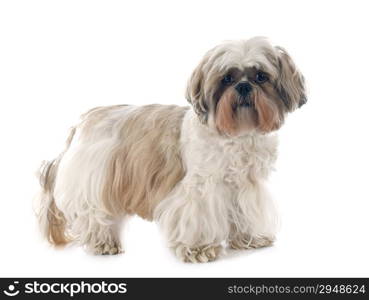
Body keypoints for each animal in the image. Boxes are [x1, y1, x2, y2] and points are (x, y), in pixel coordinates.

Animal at [35, 37, 304, 262]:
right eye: (227, 78)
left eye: (260, 76)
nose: (244, 87)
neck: (237, 135)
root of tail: (84, 120)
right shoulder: (200, 189)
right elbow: (197, 219)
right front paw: (199, 248)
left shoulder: (246, 186)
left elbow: (246, 213)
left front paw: (250, 238)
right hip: (95, 182)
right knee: (94, 215)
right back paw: (103, 243)